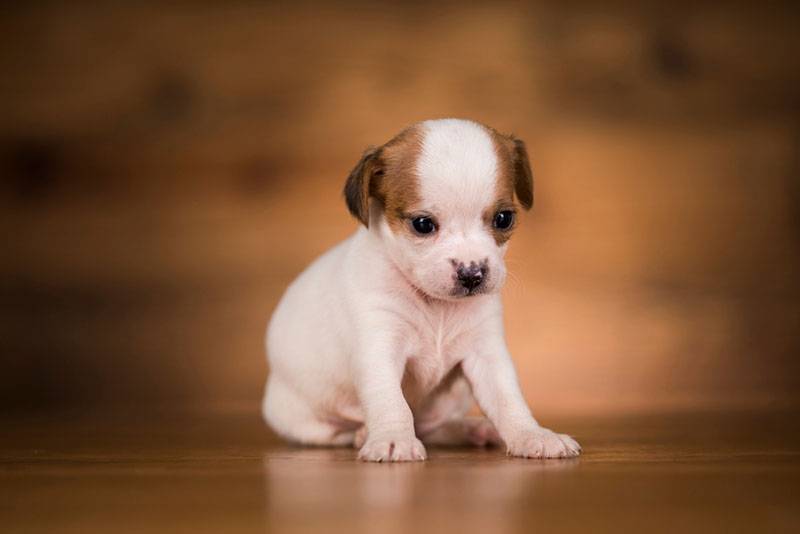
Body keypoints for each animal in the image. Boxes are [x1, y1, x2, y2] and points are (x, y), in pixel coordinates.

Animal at [262, 119, 580, 462]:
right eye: (423, 224)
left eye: (503, 218)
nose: (472, 273)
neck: (437, 306)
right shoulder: (380, 349)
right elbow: (391, 401)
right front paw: (392, 438)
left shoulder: (486, 354)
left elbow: (508, 399)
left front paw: (532, 435)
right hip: (301, 419)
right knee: (340, 432)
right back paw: (362, 434)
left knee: (433, 427)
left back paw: (473, 430)